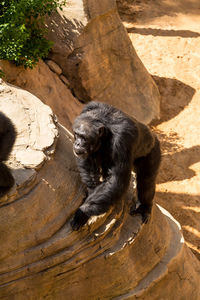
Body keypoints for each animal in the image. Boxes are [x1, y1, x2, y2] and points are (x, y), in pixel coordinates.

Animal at [70, 101, 161, 230]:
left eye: (84, 137)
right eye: (76, 134)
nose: (77, 143)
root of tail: (155, 136)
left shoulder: (122, 140)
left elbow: (116, 180)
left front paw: (82, 213)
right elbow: (88, 164)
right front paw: (91, 193)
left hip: (153, 150)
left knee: (146, 181)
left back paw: (145, 207)